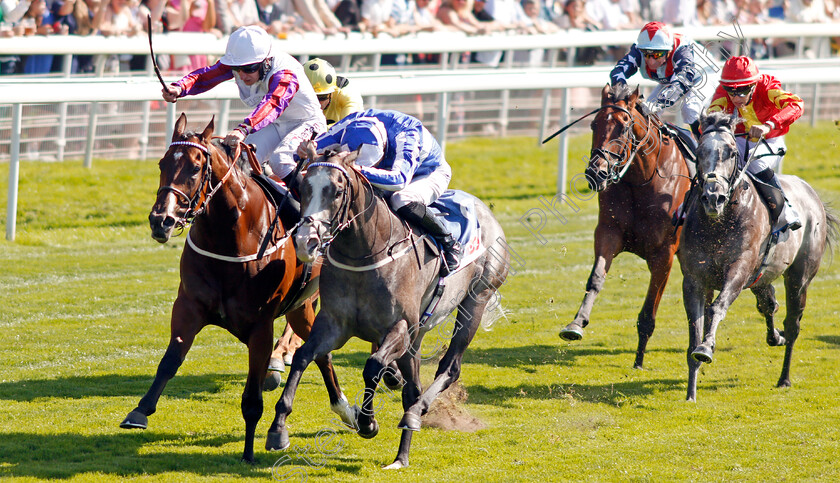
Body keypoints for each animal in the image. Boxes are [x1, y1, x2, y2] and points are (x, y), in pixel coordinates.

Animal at [120, 114, 360, 466]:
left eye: (195, 167)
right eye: (162, 163)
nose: (160, 220)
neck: (230, 236)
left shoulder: (261, 325)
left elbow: (252, 398)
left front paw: (250, 451)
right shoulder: (188, 306)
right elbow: (170, 360)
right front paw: (139, 411)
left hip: (307, 300)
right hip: (300, 306)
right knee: (321, 352)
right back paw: (345, 409)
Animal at [266, 149, 508, 470]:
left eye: (337, 192)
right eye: (303, 188)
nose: (307, 241)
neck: (365, 253)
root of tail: (485, 210)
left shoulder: (400, 327)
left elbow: (373, 366)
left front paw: (367, 423)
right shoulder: (333, 324)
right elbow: (304, 356)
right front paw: (278, 427)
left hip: (476, 299)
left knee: (449, 368)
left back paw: (417, 413)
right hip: (419, 333)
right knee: (412, 386)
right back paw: (403, 449)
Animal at [560, 84, 692, 370]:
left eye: (623, 126)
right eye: (594, 124)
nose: (595, 173)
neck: (642, 181)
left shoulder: (664, 254)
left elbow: (648, 311)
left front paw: (639, 360)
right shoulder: (608, 233)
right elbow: (595, 278)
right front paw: (576, 324)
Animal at [680, 111, 836, 402]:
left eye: (731, 152)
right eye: (699, 150)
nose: (713, 198)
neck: (720, 223)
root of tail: (811, 192)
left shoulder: (739, 269)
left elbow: (717, 307)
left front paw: (707, 348)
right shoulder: (693, 279)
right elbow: (695, 329)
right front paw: (691, 393)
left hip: (799, 277)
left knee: (793, 324)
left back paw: (784, 377)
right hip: (761, 277)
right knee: (768, 305)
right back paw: (776, 336)